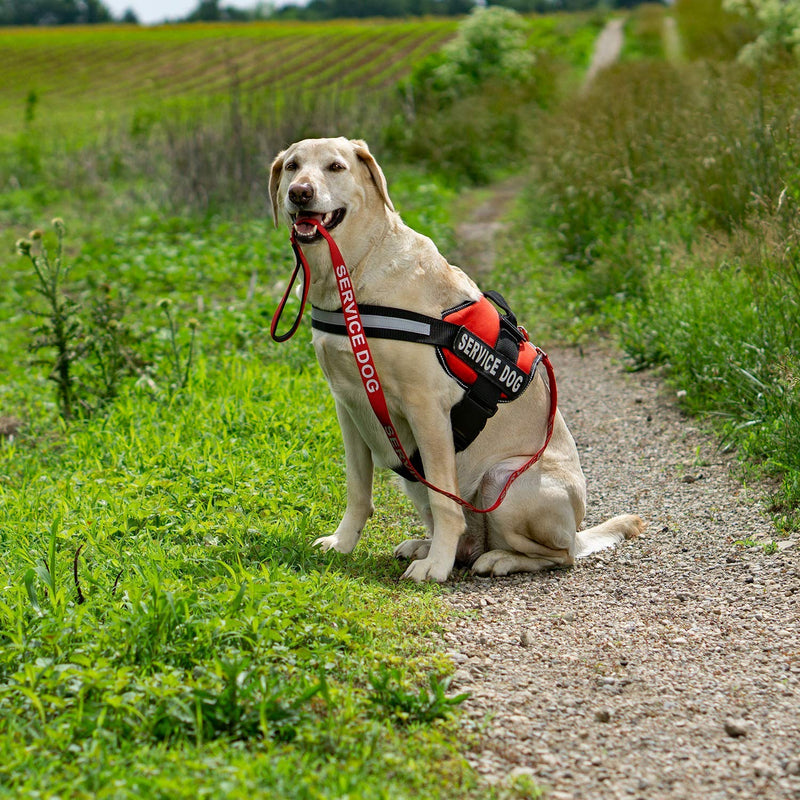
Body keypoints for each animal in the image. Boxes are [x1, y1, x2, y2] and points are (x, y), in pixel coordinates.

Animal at [270, 139, 644, 580]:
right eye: (292, 166)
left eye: (335, 167)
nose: (300, 193)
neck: (356, 274)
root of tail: (578, 529)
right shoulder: (348, 406)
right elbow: (358, 490)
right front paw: (343, 544)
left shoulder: (427, 409)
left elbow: (446, 502)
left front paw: (435, 568)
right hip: (414, 478)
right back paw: (430, 546)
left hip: (504, 479)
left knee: (558, 555)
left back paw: (494, 558)